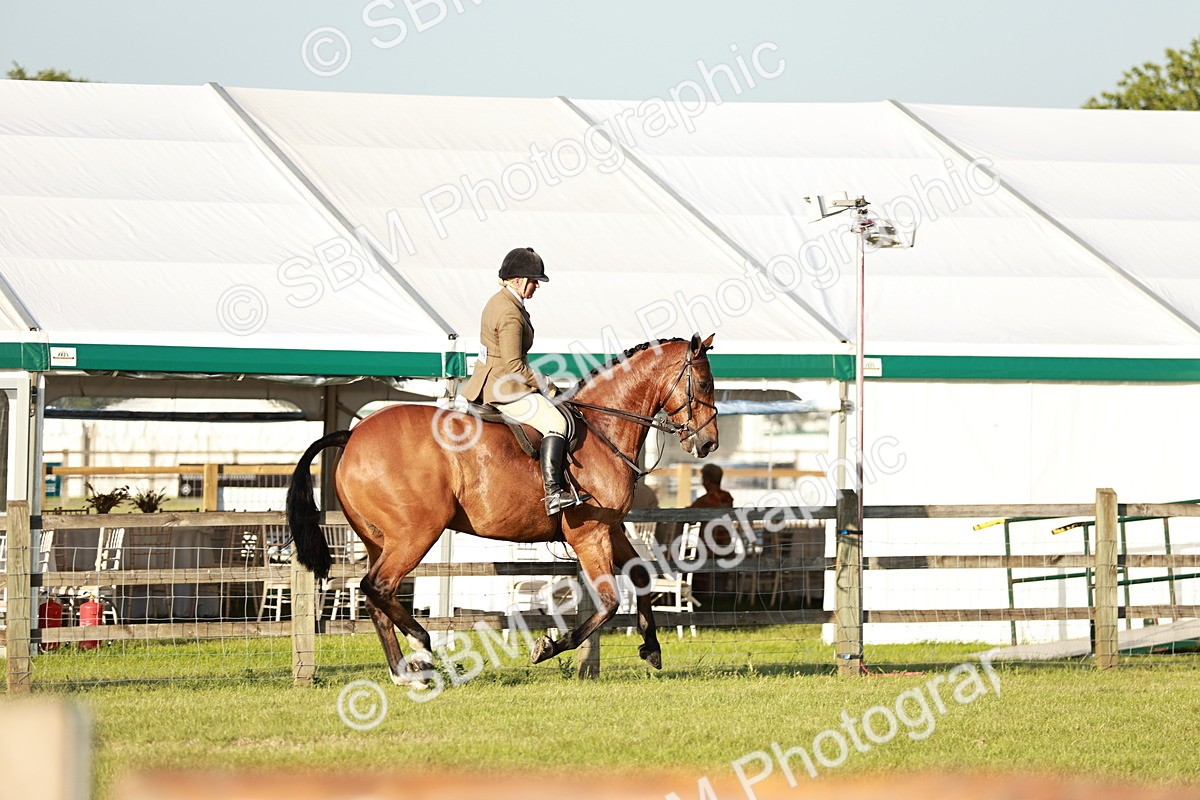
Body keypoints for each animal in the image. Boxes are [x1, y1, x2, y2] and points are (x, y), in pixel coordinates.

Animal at [286, 333, 718, 686]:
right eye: (704, 383)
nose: (709, 443)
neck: (603, 429)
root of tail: (354, 433)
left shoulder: (610, 528)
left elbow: (642, 576)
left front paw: (652, 647)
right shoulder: (589, 535)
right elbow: (610, 603)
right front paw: (547, 647)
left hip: (379, 539)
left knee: (376, 599)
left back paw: (404, 672)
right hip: (415, 534)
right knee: (377, 587)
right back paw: (422, 650)